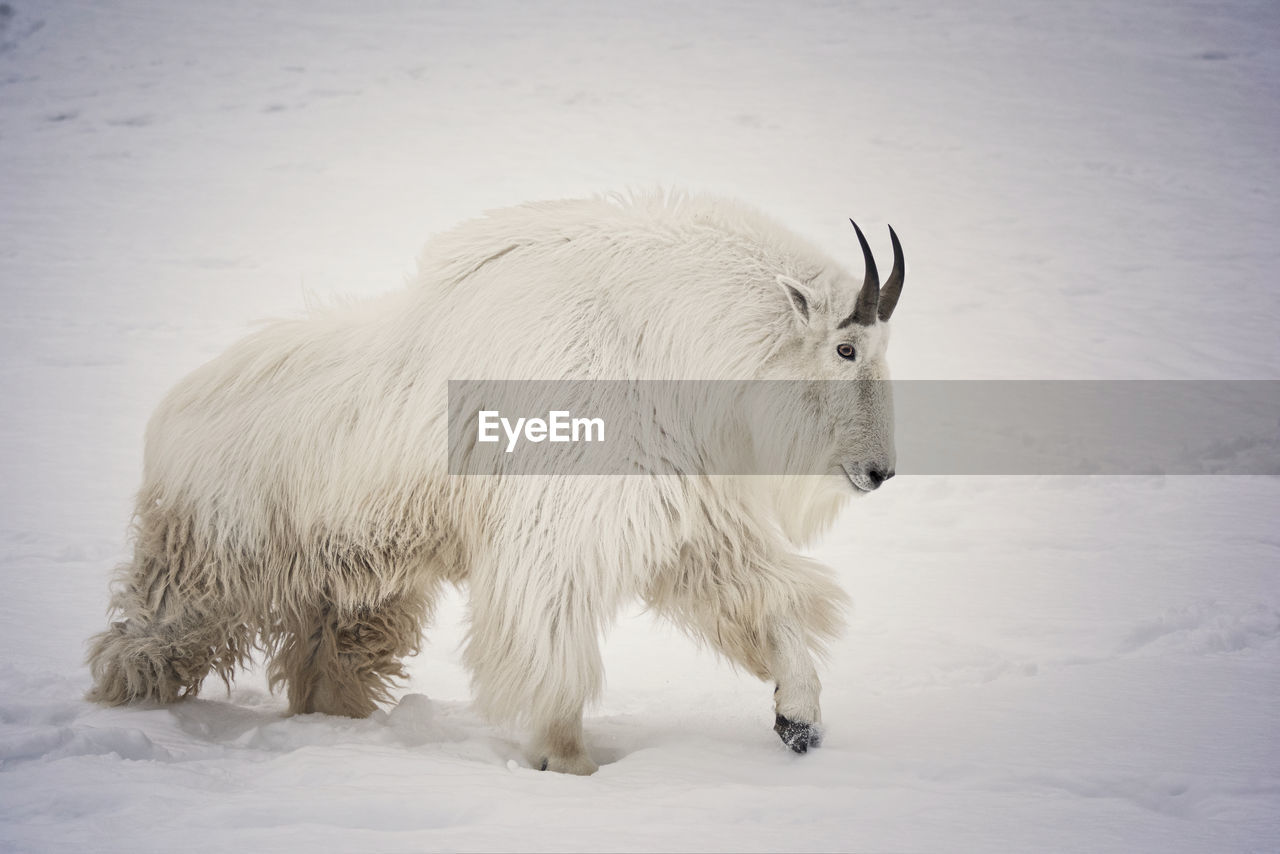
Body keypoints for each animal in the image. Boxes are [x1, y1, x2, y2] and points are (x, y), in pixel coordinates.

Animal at [85, 192, 906, 773]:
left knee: (330, 663)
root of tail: (169, 413)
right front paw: (566, 761)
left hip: (357, 583)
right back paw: (125, 718)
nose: (878, 472)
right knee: (145, 641)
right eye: (846, 347)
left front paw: (800, 720)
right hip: (211, 563)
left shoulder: (681, 521)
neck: (656, 335)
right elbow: (552, 646)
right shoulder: (562, 533)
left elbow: (764, 605)